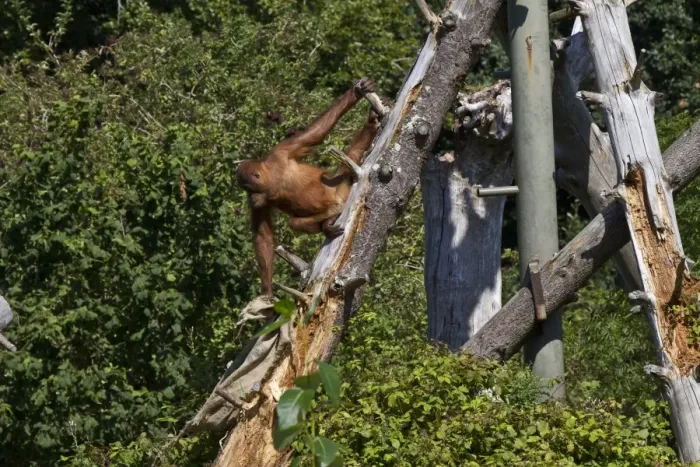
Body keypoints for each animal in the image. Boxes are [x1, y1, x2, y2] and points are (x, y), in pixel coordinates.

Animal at [236, 78, 380, 297]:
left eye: (247, 187)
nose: (250, 198)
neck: (273, 179)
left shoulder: (283, 151)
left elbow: (315, 133)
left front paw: (355, 93)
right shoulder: (263, 198)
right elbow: (263, 236)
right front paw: (267, 290)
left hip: (342, 190)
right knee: (296, 222)